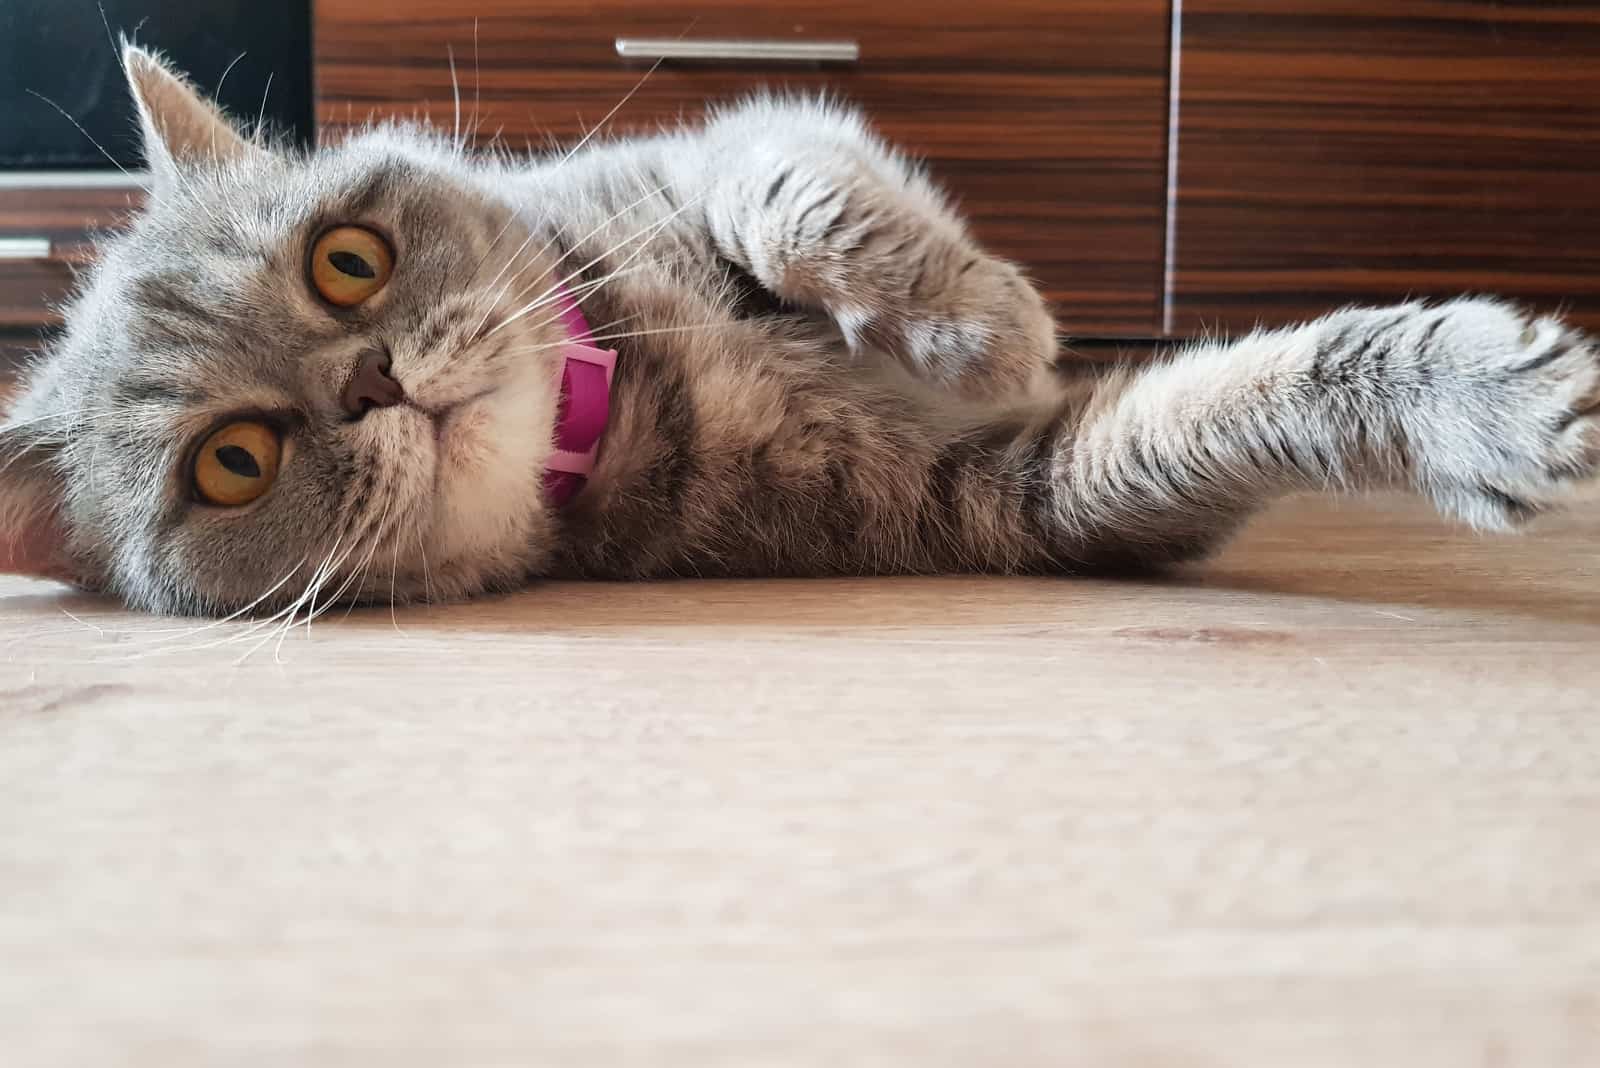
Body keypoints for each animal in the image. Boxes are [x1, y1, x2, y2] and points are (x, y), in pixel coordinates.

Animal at [0, 45, 1593, 617]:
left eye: (347, 262)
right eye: (232, 465)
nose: (371, 379)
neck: (624, 382)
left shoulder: (739, 138)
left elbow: (794, 194)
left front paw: (982, 320)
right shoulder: (1031, 499)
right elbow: (1219, 405)